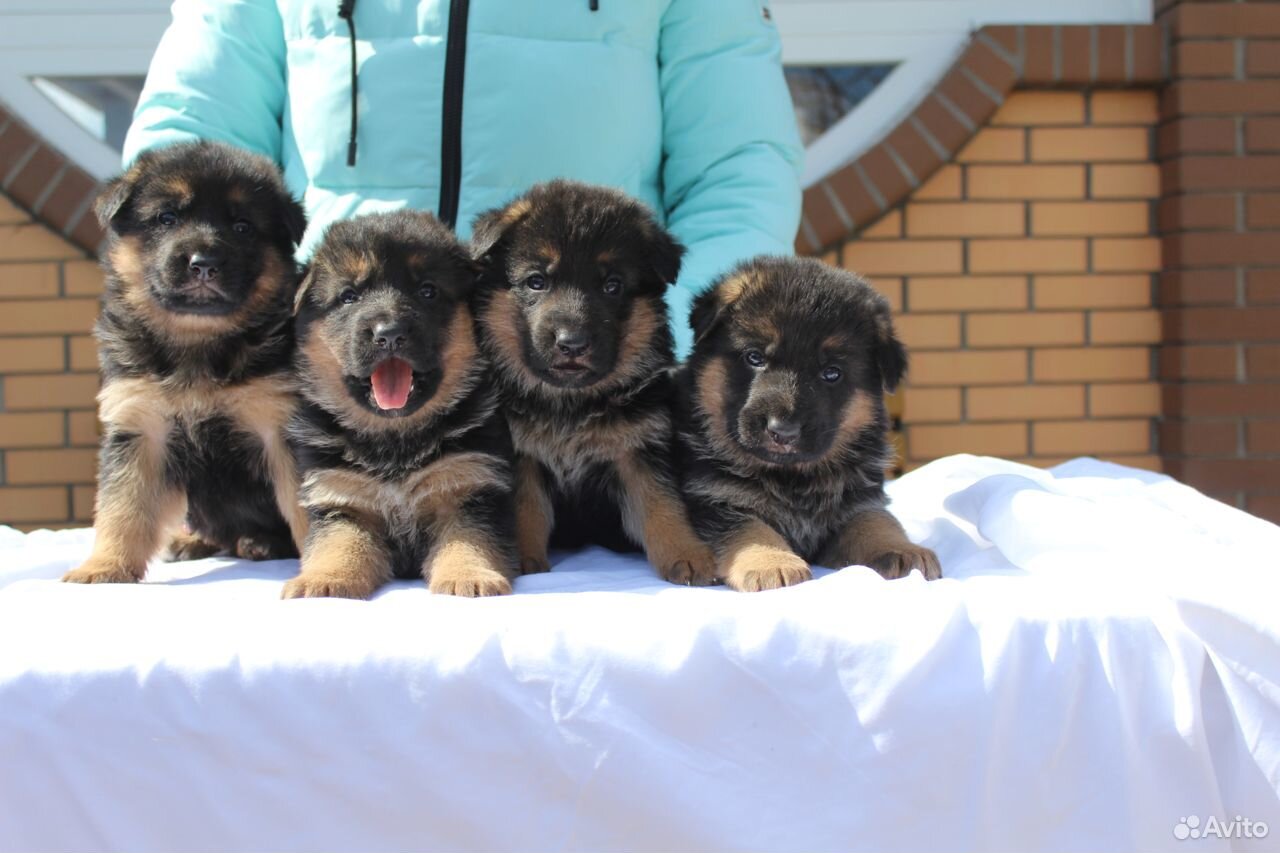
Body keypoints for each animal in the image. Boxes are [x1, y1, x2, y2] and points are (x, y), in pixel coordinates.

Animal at [285, 211, 514, 596]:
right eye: (349, 296)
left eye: (427, 291)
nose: (389, 333)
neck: (395, 441)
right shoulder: (342, 498)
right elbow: (338, 544)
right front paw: (324, 578)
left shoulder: (468, 486)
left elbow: (468, 540)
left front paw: (469, 575)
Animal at [471, 179, 716, 584]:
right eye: (536, 282)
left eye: (612, 286)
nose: (572, 344)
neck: (571, 404)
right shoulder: (523, 453)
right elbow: (527, 509)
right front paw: (524, 560)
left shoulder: (639, 448)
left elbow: (662, 505)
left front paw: (689, 556)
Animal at [680, 257, 942, 591]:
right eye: (754, 357)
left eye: (831, 373)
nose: (782, 431)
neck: (793, 479)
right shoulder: (717, 501)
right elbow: (750, 529)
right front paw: (771, 562)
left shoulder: (857, 501)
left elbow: (876, 521)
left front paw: (903, 549)